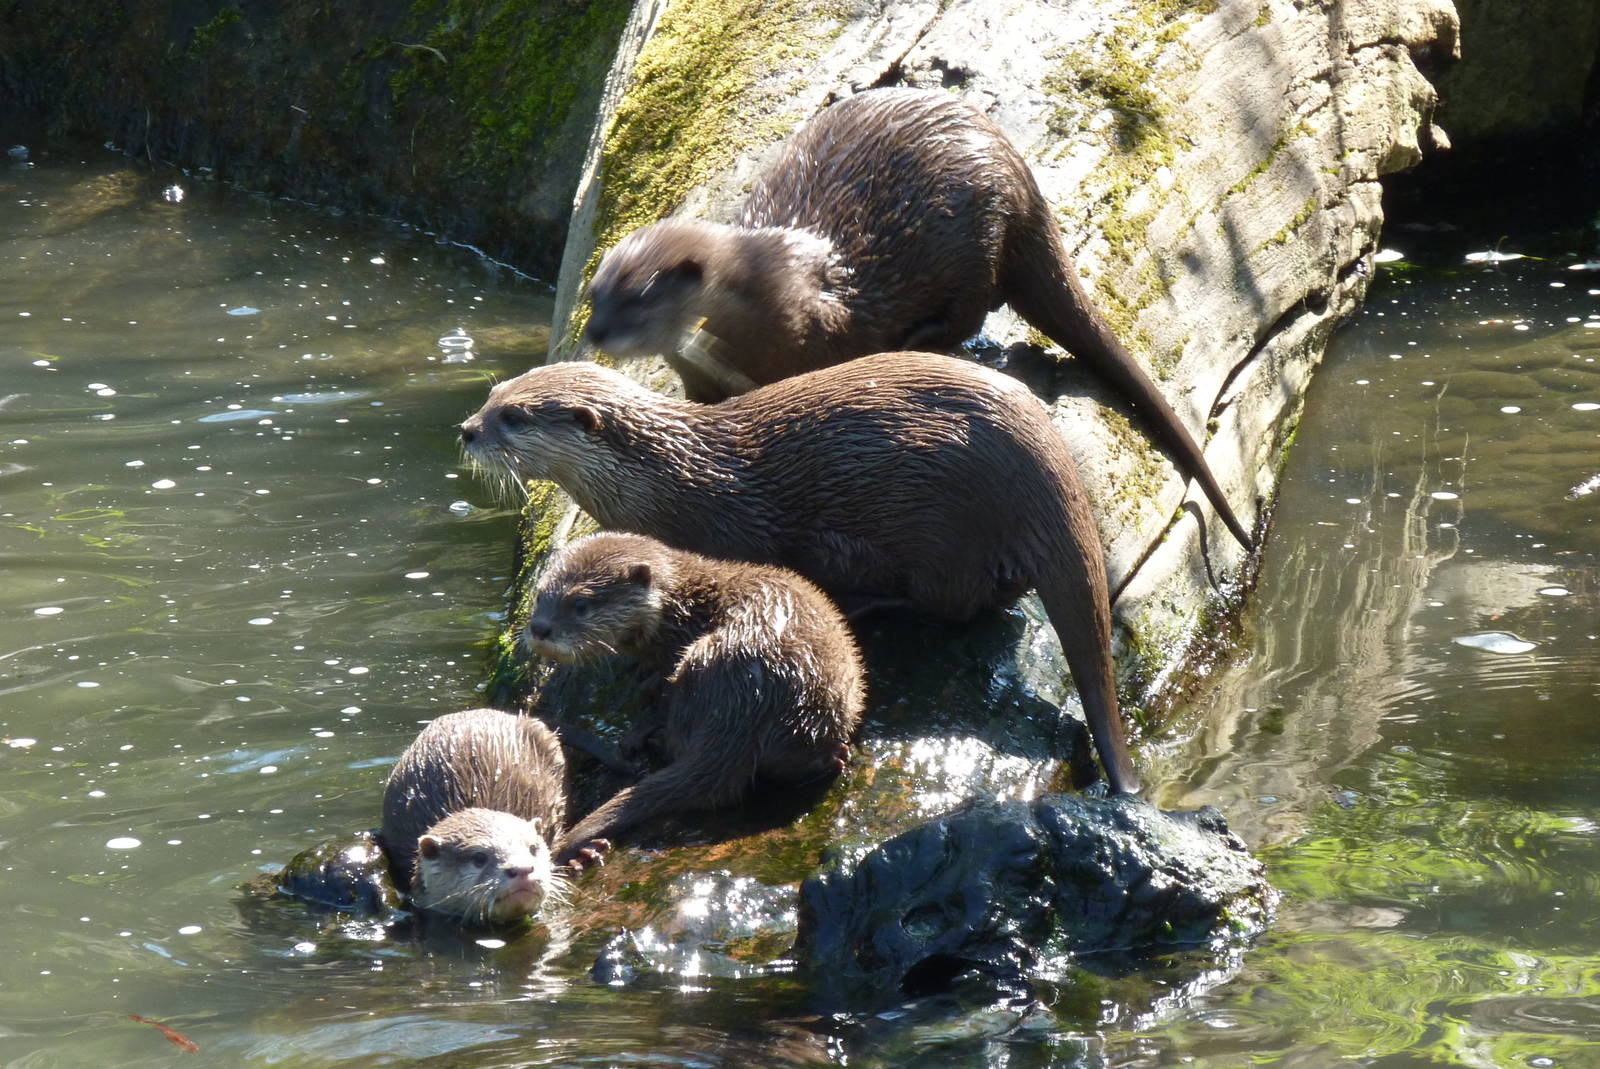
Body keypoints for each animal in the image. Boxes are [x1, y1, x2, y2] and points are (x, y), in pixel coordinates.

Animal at [460, 353, 1140, 795]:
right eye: (493, 394)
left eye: (515, 415)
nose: (466, 429)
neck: (667, 482)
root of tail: (1044, 460)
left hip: (945, 528)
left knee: (955, 607)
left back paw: (867, 603)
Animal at [523, 532, 864, 861]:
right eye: (538, 596)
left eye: (581, 604)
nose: (539, 628)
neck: (682, 612)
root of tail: (749, 698)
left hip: (697, 661)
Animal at [583, 87, 1253, 551]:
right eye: (594, 294)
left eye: (638, 297)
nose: (593, 332)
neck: (773, 292)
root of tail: (1020, 176)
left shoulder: (820, 331)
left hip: (979, 235)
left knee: (976, 306)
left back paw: (923, 335)